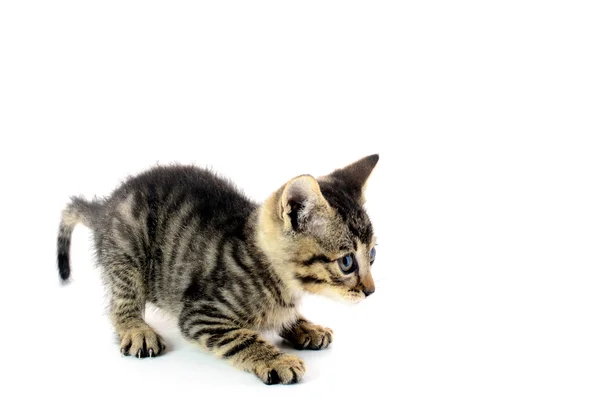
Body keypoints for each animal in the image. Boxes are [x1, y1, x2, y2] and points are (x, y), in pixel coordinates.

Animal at [56, 153, 380, 382]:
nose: (371, 291)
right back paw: (137, 329)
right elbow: (241, 337)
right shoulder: (201, 315)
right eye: (347, 262)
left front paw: (304, 326)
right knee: (122, 302)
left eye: (373, 254)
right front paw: (277, 359)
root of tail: (105, 207)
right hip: (128, 251)